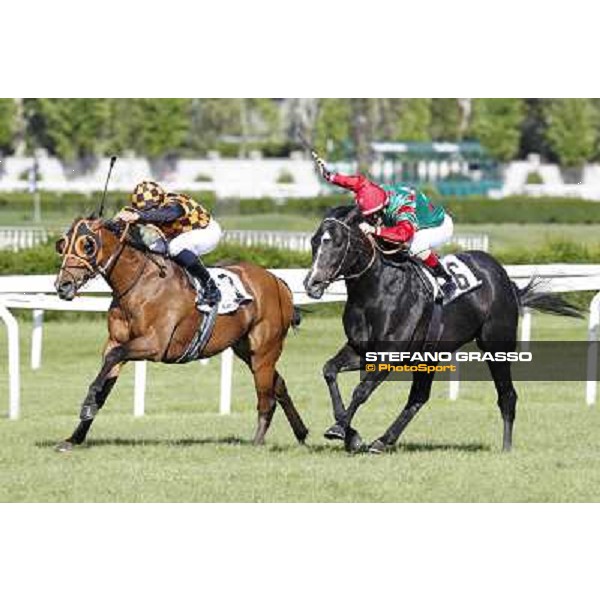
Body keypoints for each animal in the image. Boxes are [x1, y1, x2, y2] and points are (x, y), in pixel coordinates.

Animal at [52, 218, 310, 452]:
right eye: (62, 245)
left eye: (87, 245)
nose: (62, 286)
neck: (140, 284)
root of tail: (278, 281)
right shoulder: (116, 340)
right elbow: (108, 373)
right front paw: (74, 437)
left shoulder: (155, 345)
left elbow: (112, 359)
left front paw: (89, 399)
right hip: (246, 349)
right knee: (279, 385)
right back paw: (301, 433)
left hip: (264, 350)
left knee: (266, 397)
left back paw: (257, 442)